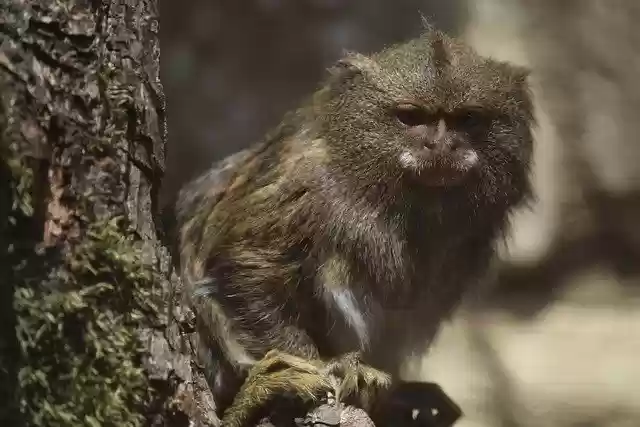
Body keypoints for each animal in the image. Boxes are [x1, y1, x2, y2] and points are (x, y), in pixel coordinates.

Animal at [172, 22, 534, 427]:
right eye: (411, 117)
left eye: (467, 119)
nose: (441, 146)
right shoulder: (305, 183)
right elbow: (243, 263)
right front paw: (323, 366)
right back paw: (256, 398)